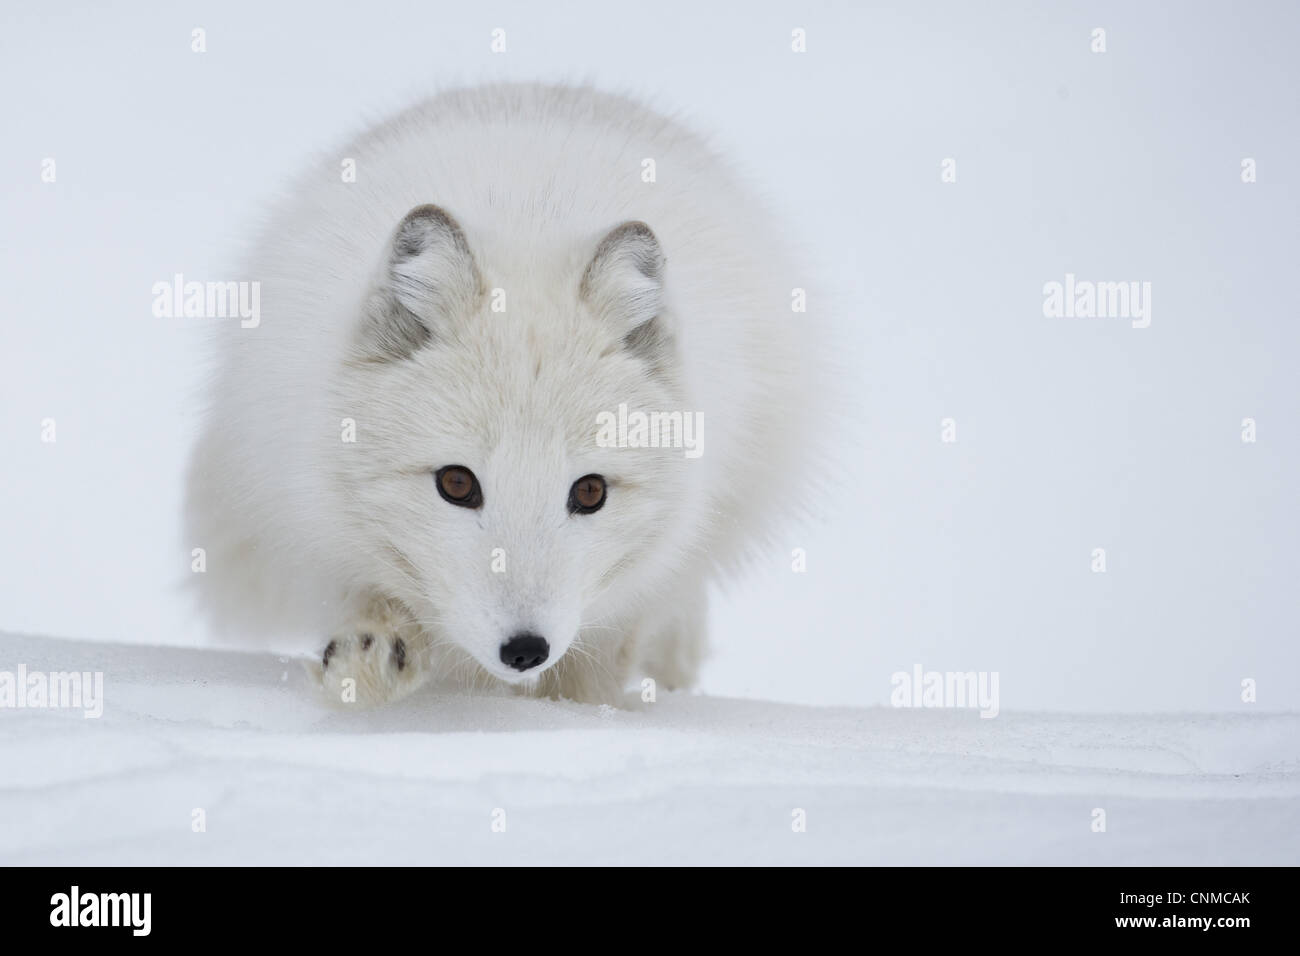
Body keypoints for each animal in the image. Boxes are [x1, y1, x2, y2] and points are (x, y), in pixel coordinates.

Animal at [185, 83, 811, 712]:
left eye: (591, 491)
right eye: (456, 483)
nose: (525, 649)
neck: (529, 220)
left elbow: (593, 668)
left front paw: (569, 717)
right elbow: (379, 600)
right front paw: (372, 656)